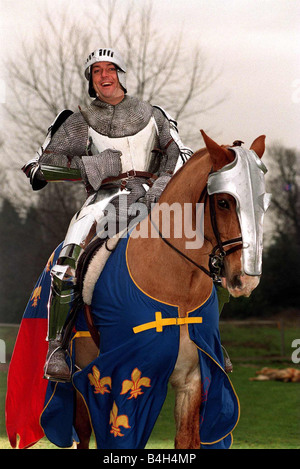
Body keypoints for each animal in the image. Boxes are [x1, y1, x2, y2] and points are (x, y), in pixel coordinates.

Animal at [71, 130, 270, 448]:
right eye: (224, 202)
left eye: (263, 203)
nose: (245, 279)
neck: (178, 292)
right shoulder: (123, 380)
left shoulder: (193, 380)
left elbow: (186, 439)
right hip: (82, 373)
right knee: (83, 432)